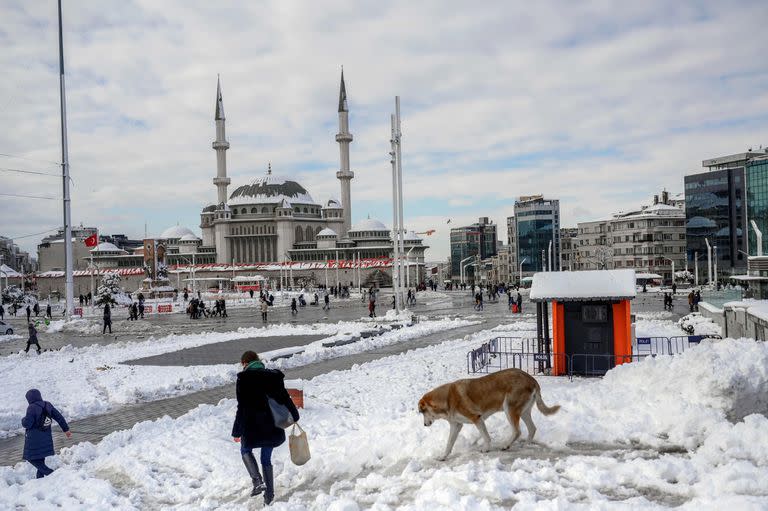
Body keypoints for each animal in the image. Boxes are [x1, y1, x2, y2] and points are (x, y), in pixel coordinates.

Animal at [416, 368, 560, 460]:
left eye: (422, 411)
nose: (424, 425)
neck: (447, 399)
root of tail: (531, 378)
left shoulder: (477, 419)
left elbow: (486, 437)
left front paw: (486, 449)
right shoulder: (456, 425)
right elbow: (449, 443)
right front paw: (443, 456)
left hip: (509, 408)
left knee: (517, 431)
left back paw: (506, 445)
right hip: (523, 411)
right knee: (532, 428)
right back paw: (526, 444)